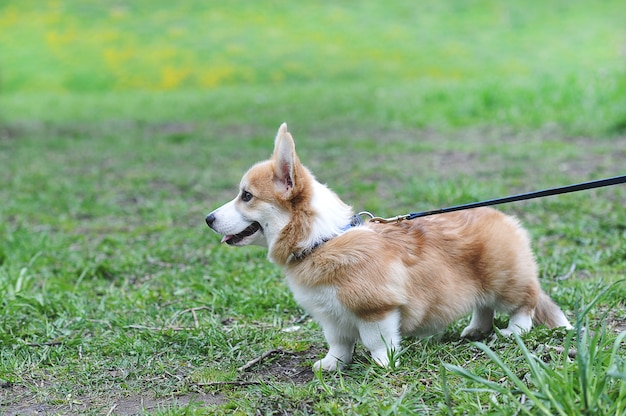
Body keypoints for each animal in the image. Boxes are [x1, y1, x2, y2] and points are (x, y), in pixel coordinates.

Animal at [205, 123, 572, 370]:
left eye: (246, 196)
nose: (208, 219)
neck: (321, 241)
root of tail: (505, 219)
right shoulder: (331, 317)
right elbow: (338, 344)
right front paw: (331, 365)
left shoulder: (375, 310)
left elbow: (375, 340)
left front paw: (384, 364)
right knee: (483, 306)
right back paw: (474, 330)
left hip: (506, 282)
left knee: (525, 302)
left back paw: (514, 331)